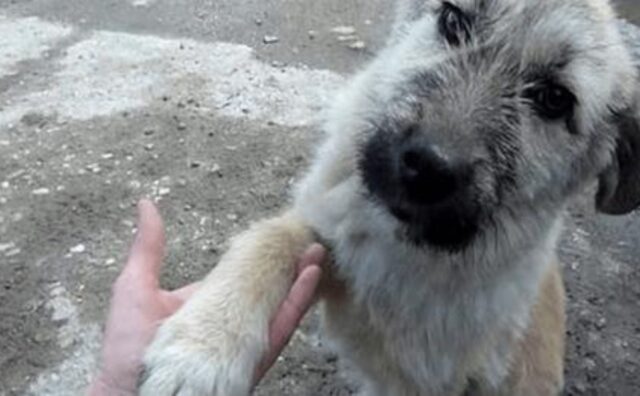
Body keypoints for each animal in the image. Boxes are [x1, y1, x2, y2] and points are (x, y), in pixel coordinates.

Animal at [136, 1, 640, 394]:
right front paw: (202, 349)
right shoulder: (329, 234)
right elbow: (269, 240)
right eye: (453, 21)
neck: (407, 251)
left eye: (554, 99)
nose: (428, 165)